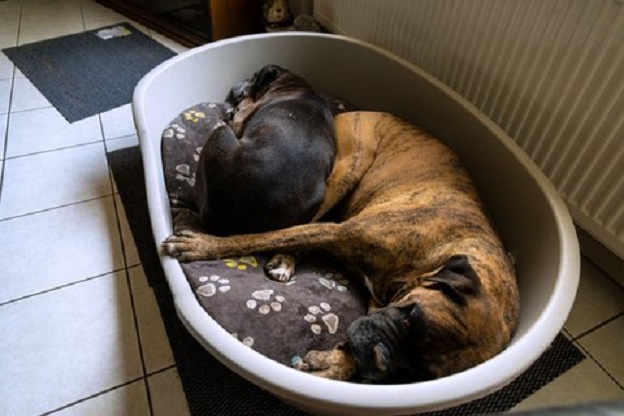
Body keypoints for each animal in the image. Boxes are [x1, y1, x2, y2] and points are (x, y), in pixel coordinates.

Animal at [164, 111, 520, 383]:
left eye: (419, 373)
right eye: (410, 319)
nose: (379, 361)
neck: (436, 255)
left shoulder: (377, 306)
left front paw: (334, 365)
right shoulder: (339, 232)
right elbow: (270, 236)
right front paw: (202, 245)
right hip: (343, 172)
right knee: (303, 223)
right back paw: (283, 261)